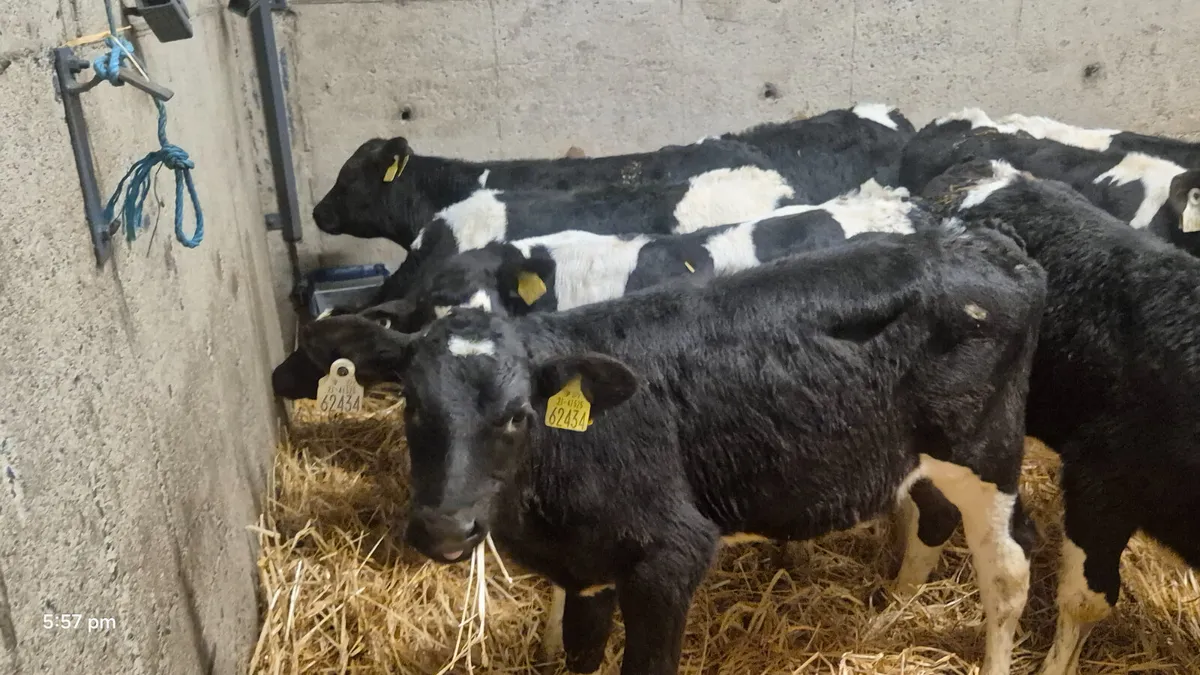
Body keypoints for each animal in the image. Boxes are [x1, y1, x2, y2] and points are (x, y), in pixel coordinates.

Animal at [289, 222, 1047, 675]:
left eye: (516, 415)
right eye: (412, 404)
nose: (446, 528)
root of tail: (985, 242)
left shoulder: (669, 555)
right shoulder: (586, 567)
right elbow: (582, 650)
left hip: (986, 453)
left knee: (1008, 572)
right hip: (921, 457)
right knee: (931, 518)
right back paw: (890, 609)